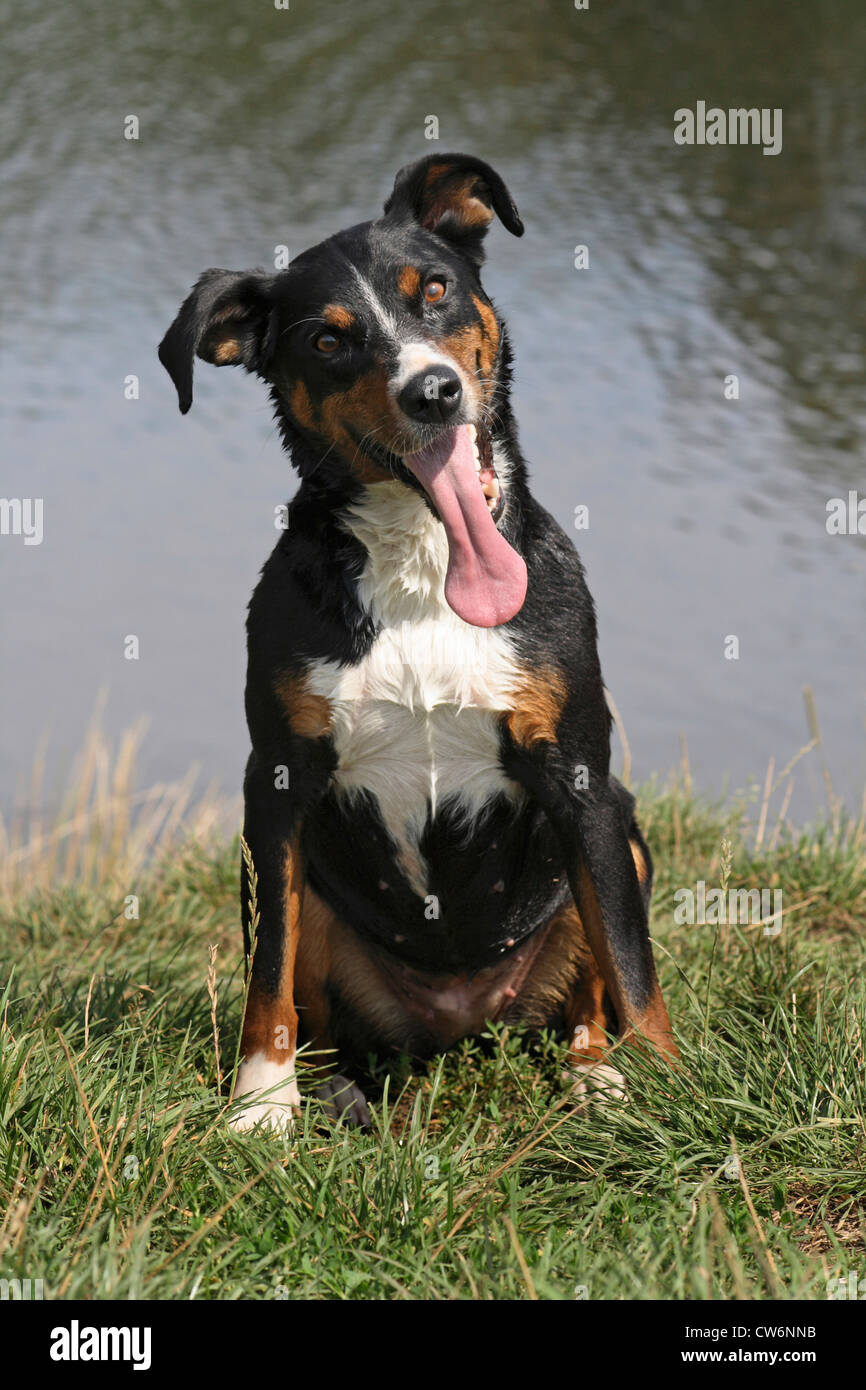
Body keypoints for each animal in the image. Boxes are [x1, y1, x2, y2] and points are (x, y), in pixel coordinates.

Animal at [159, 154, 681, 1128]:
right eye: (327, 341)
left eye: (434, 290)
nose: (431, 391)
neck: (425, 572)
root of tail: (460, 1023)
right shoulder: (276, 785)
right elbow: (268, 969)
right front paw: (260, 1105)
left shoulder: (580, 775)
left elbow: (632, 965)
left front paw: (675, 1095)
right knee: (311, 999)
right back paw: (331, 1089)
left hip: (624, 835)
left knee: (592, 986)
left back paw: (598, 1075)